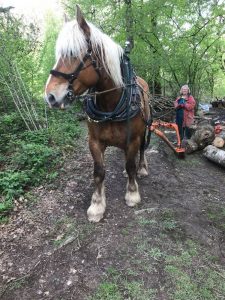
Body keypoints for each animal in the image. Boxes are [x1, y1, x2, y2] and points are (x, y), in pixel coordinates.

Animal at [45, 6, 151, 223]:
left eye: (72, 53)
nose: (50, 96)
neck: (110, 106)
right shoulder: (94, 141)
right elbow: (99, 172)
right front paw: (97, 205)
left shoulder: (133, 138)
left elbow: (131, 165)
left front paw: (132, 193)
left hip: (144, 130)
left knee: (142, 149)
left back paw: (142, 168)